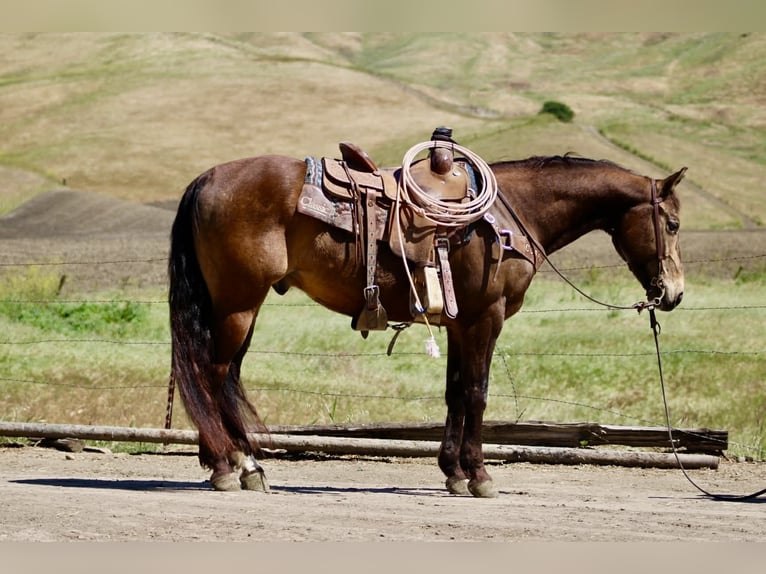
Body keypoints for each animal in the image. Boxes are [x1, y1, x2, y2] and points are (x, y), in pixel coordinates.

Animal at [168, 151, 686, 498]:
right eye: (674, 224)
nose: (674, 294)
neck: (513, 213)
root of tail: (206, 178)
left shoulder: (461, 323)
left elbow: (455, 392)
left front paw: (452, 472)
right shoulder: (486, 317)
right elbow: (477, 392)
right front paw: (479, 476)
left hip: (241, 306)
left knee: (225, 377)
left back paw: (239, 464)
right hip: (238, 304)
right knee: (213, 375)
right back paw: (234, 467)